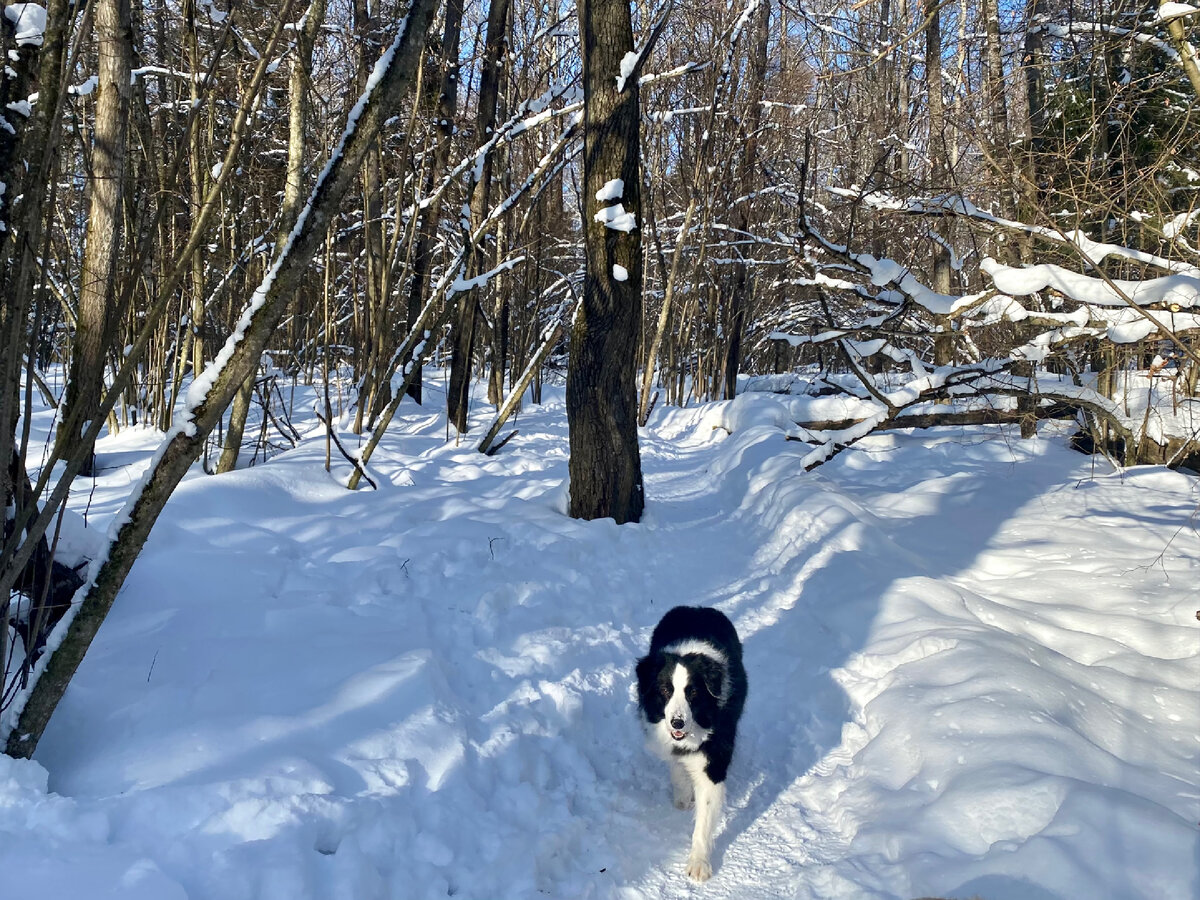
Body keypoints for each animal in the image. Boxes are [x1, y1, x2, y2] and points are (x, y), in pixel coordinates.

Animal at [633, 607, 744, 883]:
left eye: (693, 692)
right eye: (665, 690)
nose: (677, 722)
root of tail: (697, 608)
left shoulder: (713, 762)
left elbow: (703, 820)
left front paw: (698, 864)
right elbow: (676, 765)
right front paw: (683, 794)